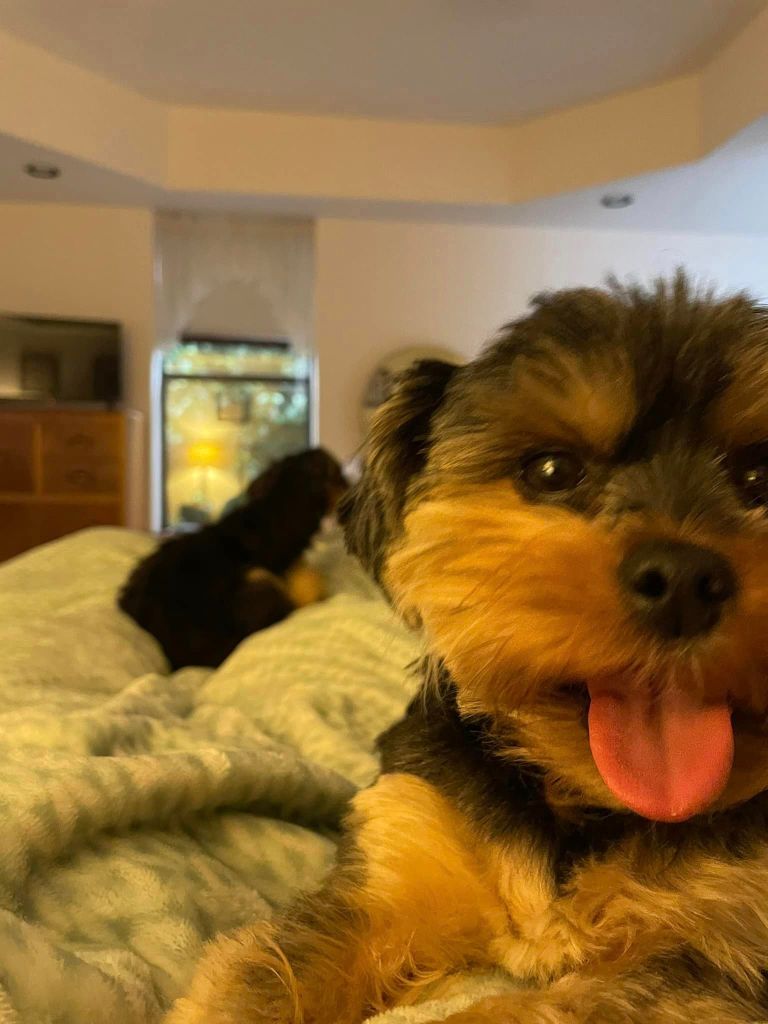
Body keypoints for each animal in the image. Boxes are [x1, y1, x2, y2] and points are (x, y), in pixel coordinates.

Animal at [166, 274, 768, 1023]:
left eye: (760, 480)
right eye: (551, 470)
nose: (685, 579)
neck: (577, 802)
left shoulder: (714, 948)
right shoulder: (400, 860)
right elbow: (267, 976)